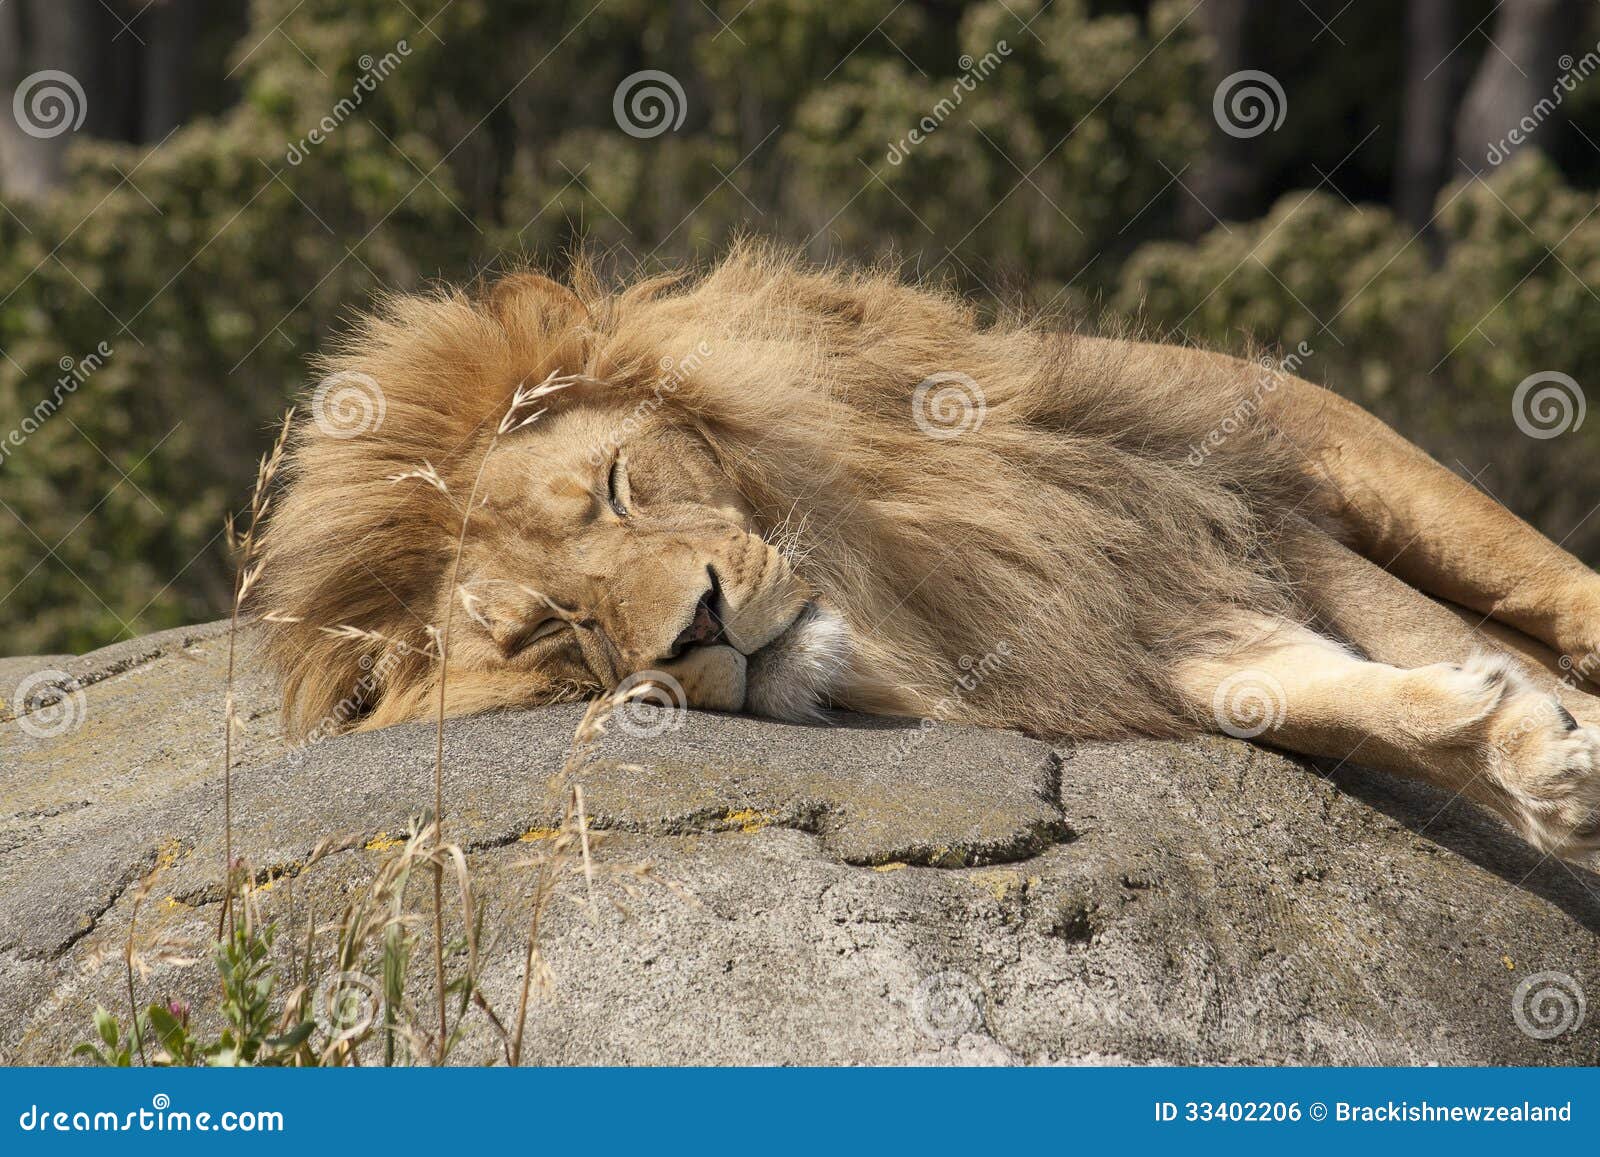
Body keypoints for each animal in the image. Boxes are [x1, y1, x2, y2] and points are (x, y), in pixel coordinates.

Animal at [249, 241, 1600, 857]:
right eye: (556, 630)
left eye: (621, 488)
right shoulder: (1128, 614)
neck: (897, 584)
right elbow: (1339, 694)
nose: (695, 625)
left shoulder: (1232, 466)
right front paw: (1533, 762)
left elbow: (1480, 598)